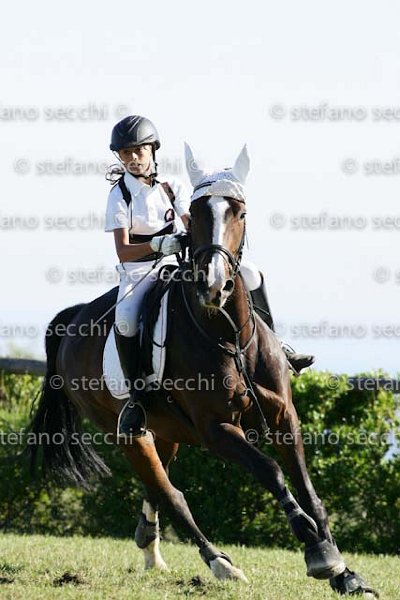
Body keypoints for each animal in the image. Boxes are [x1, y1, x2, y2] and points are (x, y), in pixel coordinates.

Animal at [28, 143, 377, 597]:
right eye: (194, 214)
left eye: (240, 212)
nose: (214, 287)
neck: (229, 335)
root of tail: (73, 320)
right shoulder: (217, 430)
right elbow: (272, 471)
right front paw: (319, 553)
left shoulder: (284, 416)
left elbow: (307, 487)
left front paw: (344, 571)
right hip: (128, 433)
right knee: (171, 493)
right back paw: (219, 563)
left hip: (166, 431)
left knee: (158, 486)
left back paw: (150, 545)